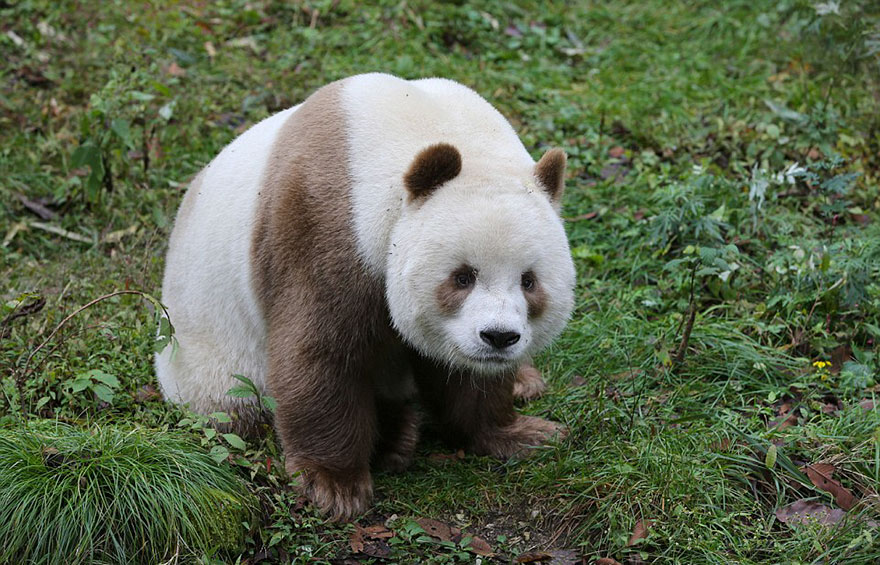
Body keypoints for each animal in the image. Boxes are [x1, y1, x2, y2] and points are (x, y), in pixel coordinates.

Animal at [155, 73, 576, 520]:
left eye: (529, 281)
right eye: (462, 277)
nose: (499, 337)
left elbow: (468, 378)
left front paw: (524, 433)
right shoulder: (323, 223)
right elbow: (322, 353)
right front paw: (335, 486)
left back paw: (523, 382)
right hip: (211, 354)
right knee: (234, 403)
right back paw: (397, 437)